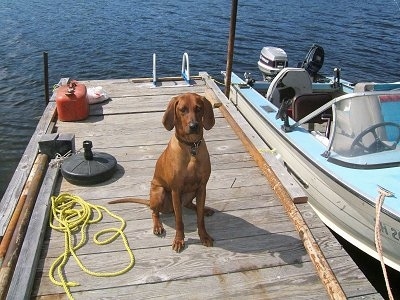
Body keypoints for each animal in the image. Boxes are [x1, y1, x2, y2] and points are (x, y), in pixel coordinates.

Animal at [109, 92, 216, 252]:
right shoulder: (176, 190)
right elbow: (179, 220)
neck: (191, 147)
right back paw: (158, 226)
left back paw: (204, 209)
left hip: (191, 193)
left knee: (190, 205)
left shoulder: (202, 187)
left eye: (199, 108)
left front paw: (204, 236)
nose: (194, 126)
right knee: (154, 212)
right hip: (159, 192)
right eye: (182, 109)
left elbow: (200, 218)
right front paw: (179, 240)